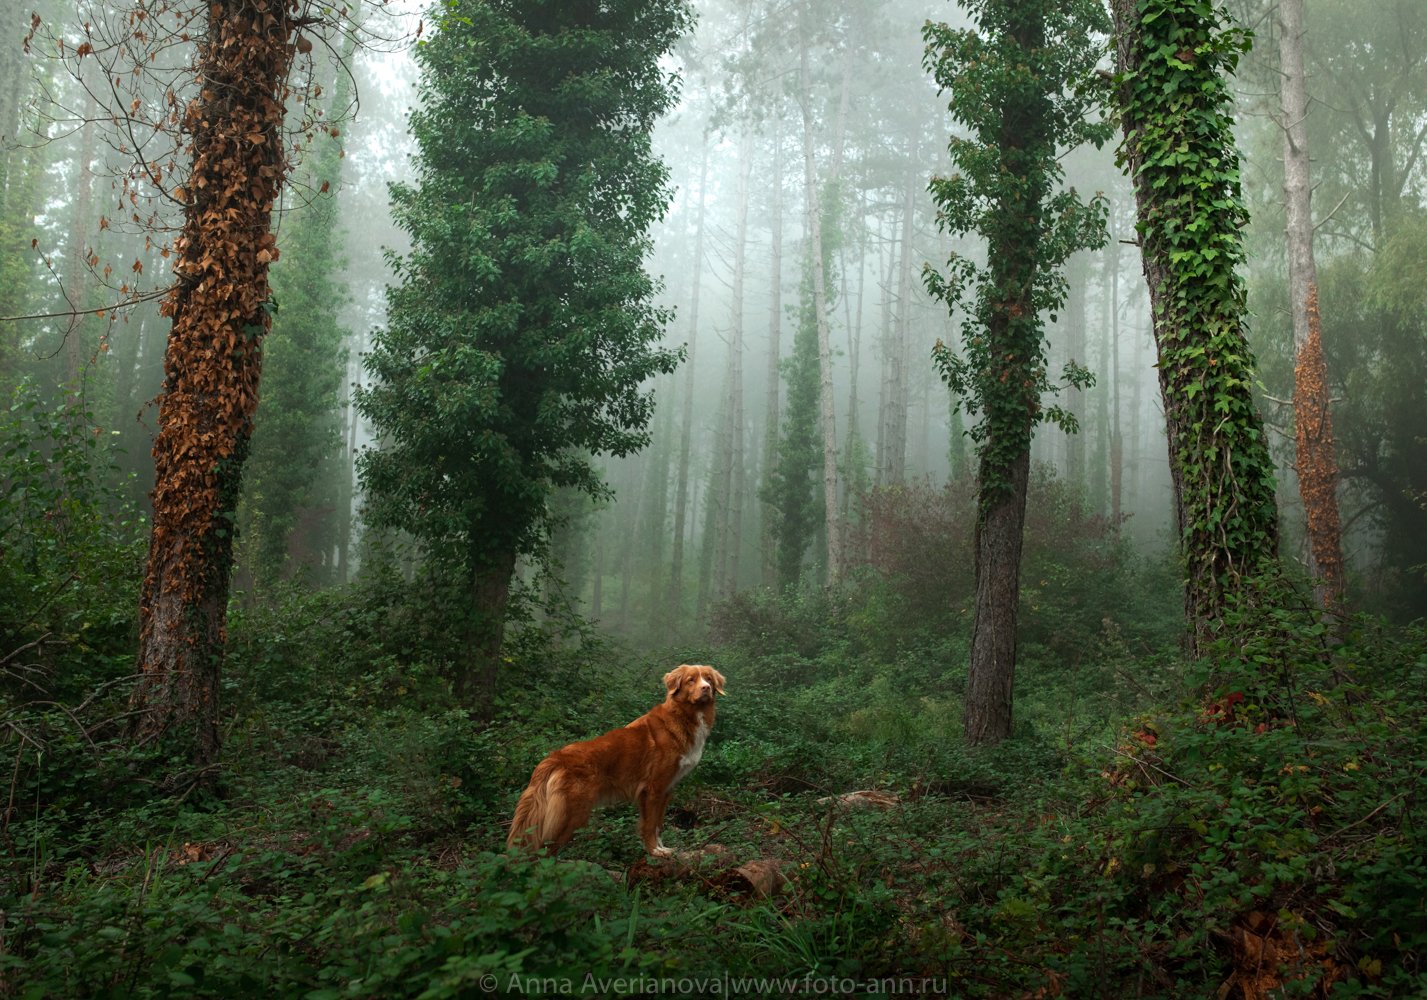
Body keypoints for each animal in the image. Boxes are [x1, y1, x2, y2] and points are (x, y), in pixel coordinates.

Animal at [508, 661, 724, 855]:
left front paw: (662, 848)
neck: (684, 716)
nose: (705, 688)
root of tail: (554, 758)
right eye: (691, 680)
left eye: (708, 679)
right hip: (571, 815)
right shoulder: (653, 789)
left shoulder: (667, 789)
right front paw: (655, 851)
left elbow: (658, 825)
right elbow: (649, 825)